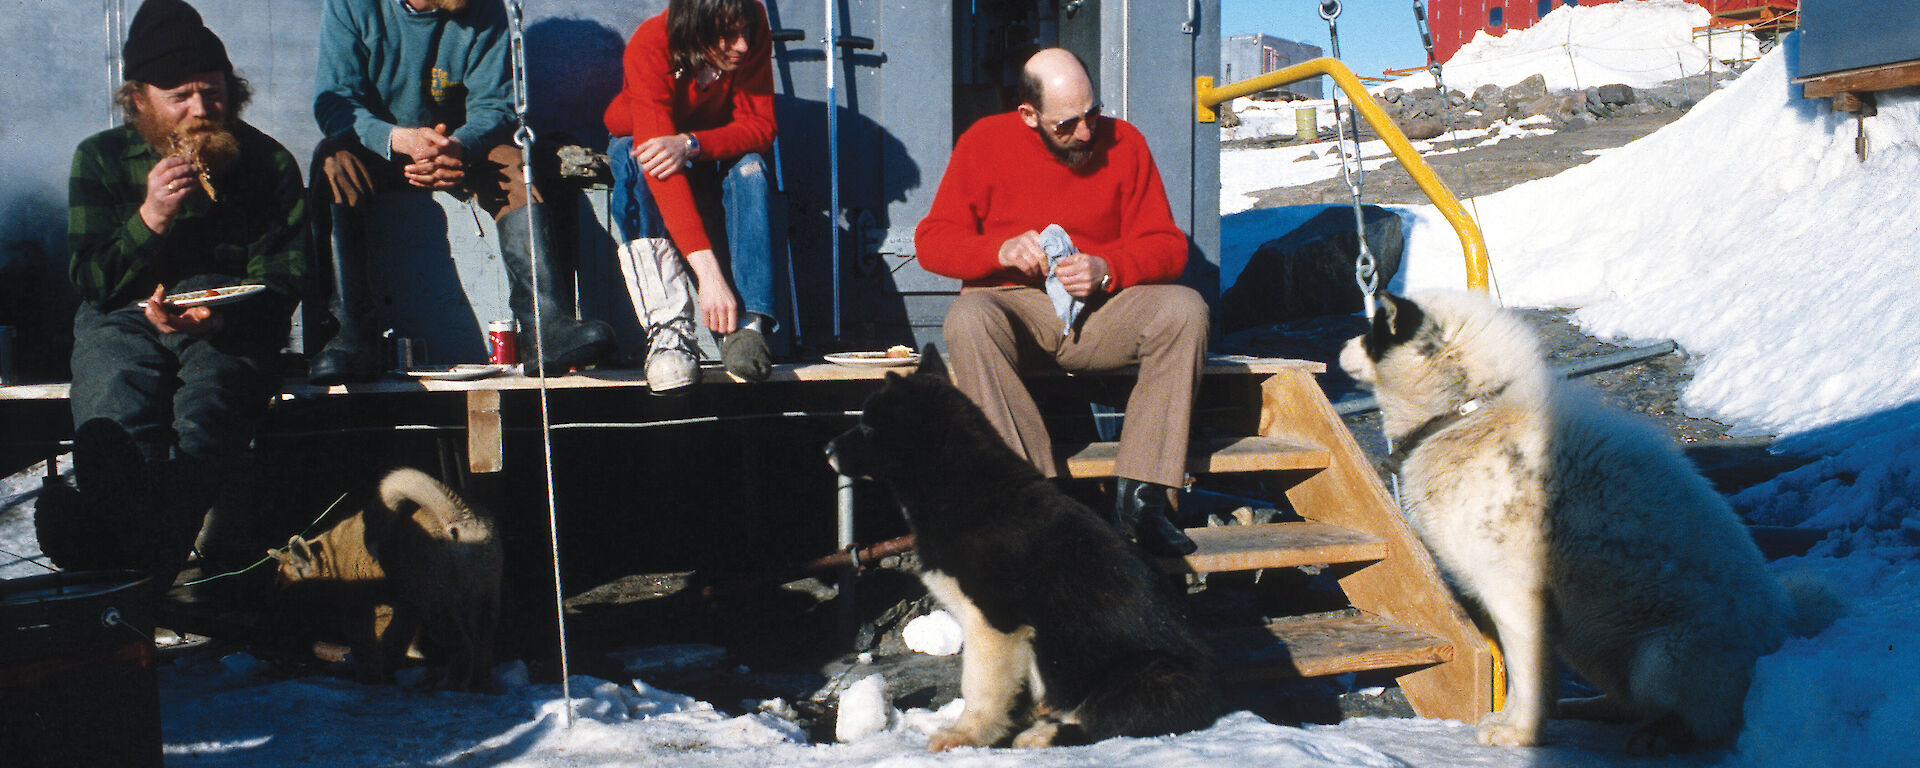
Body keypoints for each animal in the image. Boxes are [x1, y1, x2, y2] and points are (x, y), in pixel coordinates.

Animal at [278, 468, 506, 691]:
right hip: (483, 601)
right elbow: (400, 642)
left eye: (284, 587)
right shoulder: (406, 610)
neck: (329, 557)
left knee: (463, 647)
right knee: (483, 647)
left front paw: (370, 677)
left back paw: (452, 684)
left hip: (435, 605)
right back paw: (483, 685)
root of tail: (457, 518)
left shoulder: (364, 610)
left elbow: (368, 648)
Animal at [825, 353, 1213, 748]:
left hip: (1155, 675)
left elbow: (980, 687)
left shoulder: (995, 622)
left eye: (868, 428)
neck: (961, 486)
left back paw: (1042, 734)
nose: (826, 450)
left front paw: (966, 734)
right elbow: (1014, 688)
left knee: (1105, 719)